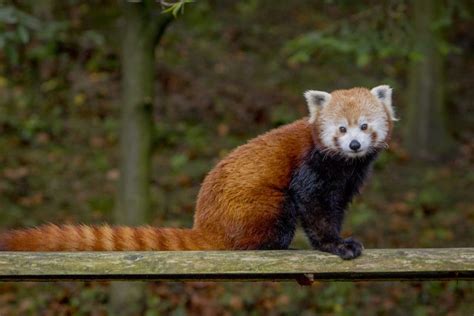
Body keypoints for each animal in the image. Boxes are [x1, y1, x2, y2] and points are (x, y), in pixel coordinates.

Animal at [0, 85, 396, 258]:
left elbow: (335, 206)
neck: (342, 165)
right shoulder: (310, 168)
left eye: (364, 126)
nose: (354, 145)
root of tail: (206, 224)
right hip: (261, 205)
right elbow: (313, 207)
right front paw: (335, 245)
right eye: (341, 129)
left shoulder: (346, 180)